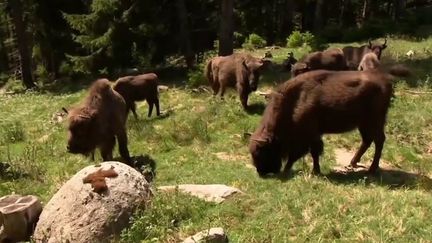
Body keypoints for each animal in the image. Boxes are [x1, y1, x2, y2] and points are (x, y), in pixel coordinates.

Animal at [248, 66, 410, 177]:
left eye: (262, 151)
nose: (261, 172)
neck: (294, 100)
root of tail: (386, 81)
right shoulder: (313, 135)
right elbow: (310, 153)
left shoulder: (309, 135)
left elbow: (307, 153)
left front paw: (311, 171)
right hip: (363, 124)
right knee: (368, 140)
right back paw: (353, 163)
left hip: (374, 121)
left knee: (379, 141)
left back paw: (371, 169)